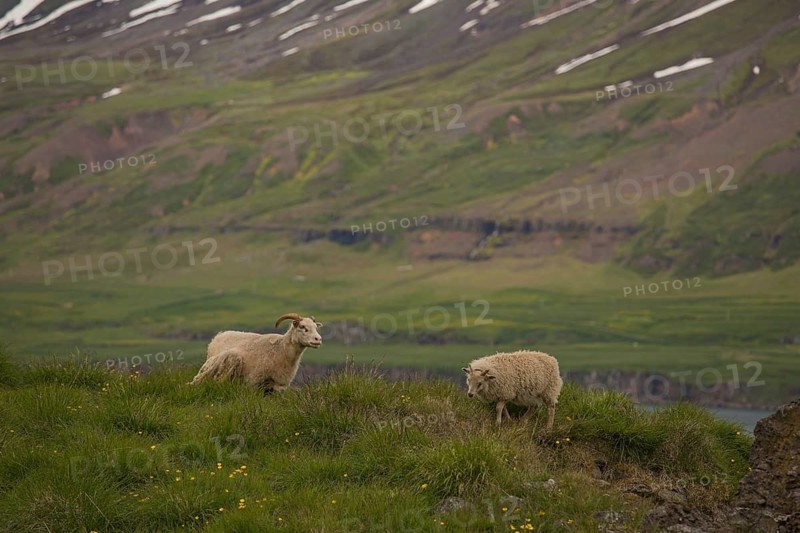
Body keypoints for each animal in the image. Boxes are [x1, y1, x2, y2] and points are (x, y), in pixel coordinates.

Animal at [189, 313, 322, 392]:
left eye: (316, 327)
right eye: (302, 327)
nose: (318, 339)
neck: (281, 350)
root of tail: (218, 335)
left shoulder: (279, 387)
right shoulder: (253, 382)